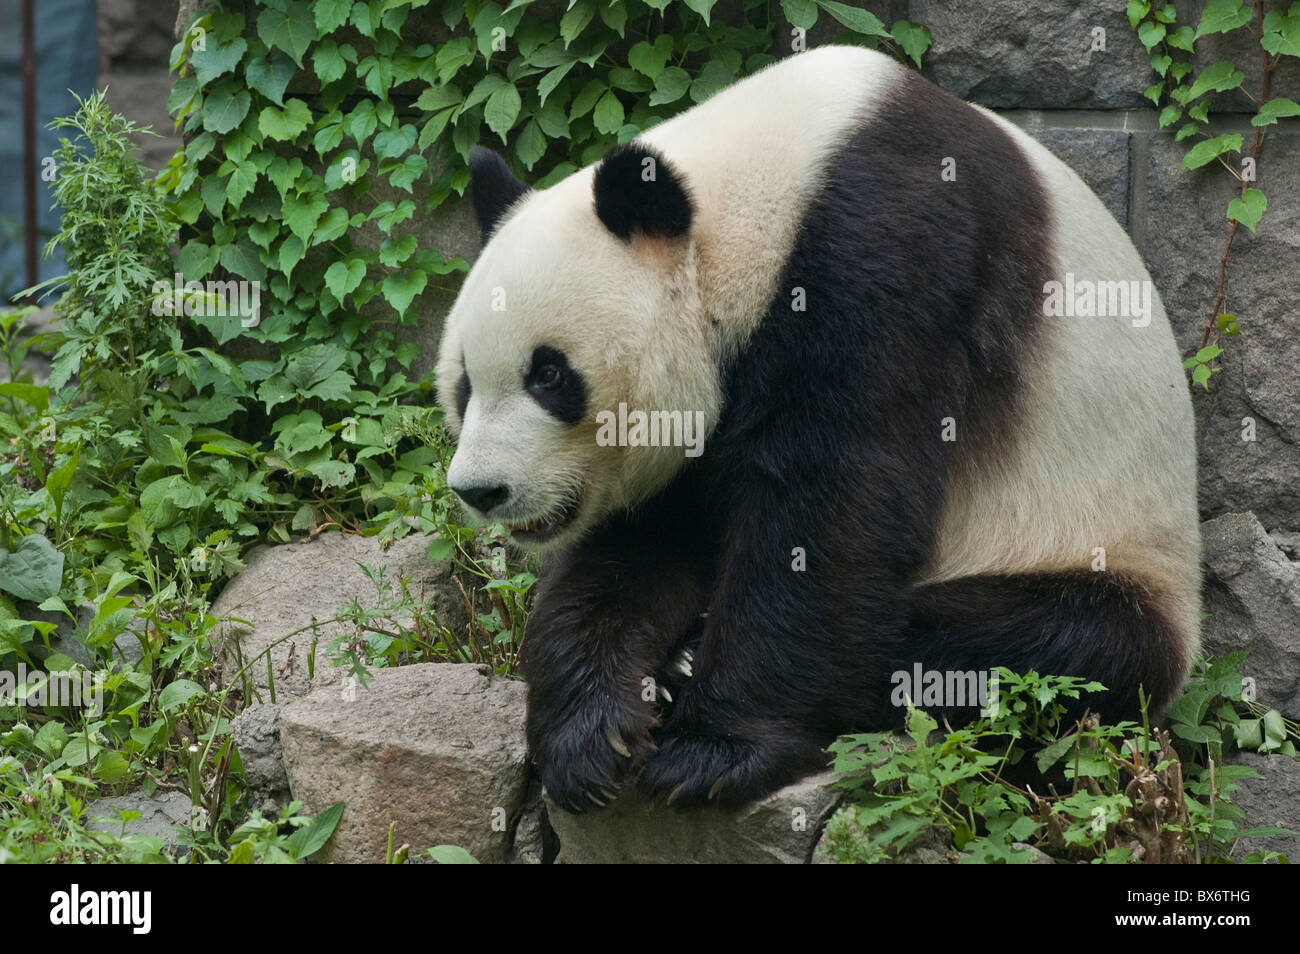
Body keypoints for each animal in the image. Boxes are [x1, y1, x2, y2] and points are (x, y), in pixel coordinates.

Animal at [436, 46, 1196, 816]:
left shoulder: (889, 258)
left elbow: (832, 505)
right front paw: (589, 737)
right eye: (465, 383)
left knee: (1033, 650)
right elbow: (649, 536)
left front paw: (710, 753)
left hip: (1096, 548)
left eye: (549, 375)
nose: (481, 490)